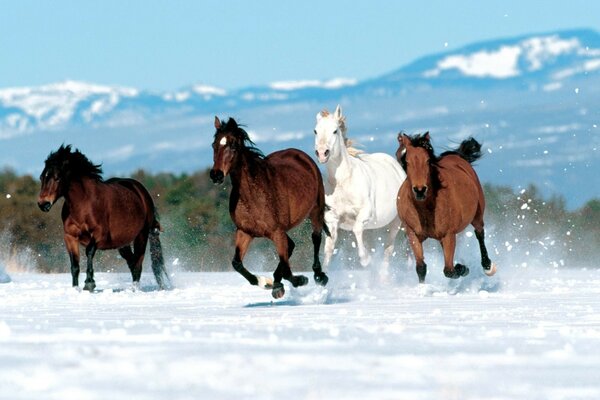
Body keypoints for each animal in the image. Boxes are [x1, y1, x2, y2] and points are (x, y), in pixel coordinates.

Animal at [36, 145, 169, 290]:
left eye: (57, 178)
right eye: (42, 177)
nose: (43, 204)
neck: (83, 204)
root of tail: (141, 191)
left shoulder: (100, 235)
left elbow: (89, 251)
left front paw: (89, 283)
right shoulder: (70, 237)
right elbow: (75, 265)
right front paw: (76, 288)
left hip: (141, 236)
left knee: (137, 264)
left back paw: (135, 289)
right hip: (122, 243)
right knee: (132, 263)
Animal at [211, 117, 330, 298]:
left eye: (233, 146)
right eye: (214, 145)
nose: (216, 175)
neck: (253, 197)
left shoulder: (276, 231)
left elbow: (287, 269)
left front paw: (300, 280)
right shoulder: (245, 232)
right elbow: (237, 263)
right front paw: (266, 283)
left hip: (316, 210)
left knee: (315, 238)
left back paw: (319, 276)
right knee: (291, 246)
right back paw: (276, 283)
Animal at [314, 105, 408, 276]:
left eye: (335, 131)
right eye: (315, 131)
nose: (322, 153)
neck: (343, 182)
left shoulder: (365, 213)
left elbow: (357, 229)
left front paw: (365, 260)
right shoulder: (332, 219)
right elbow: (329, 248)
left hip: (396, 222)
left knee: (388, 249)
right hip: (373, 228)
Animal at [396, 133, 500, 282]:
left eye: (428, 161)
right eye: (407, 161)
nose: (420, 190)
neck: (425, 209)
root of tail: (457, 156)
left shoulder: (449, 235)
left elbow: (449, 270)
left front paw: (462, 268)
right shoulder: (412, 234)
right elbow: (421, 267)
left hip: (477, 215)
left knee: (480, 233)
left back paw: (488, 267)